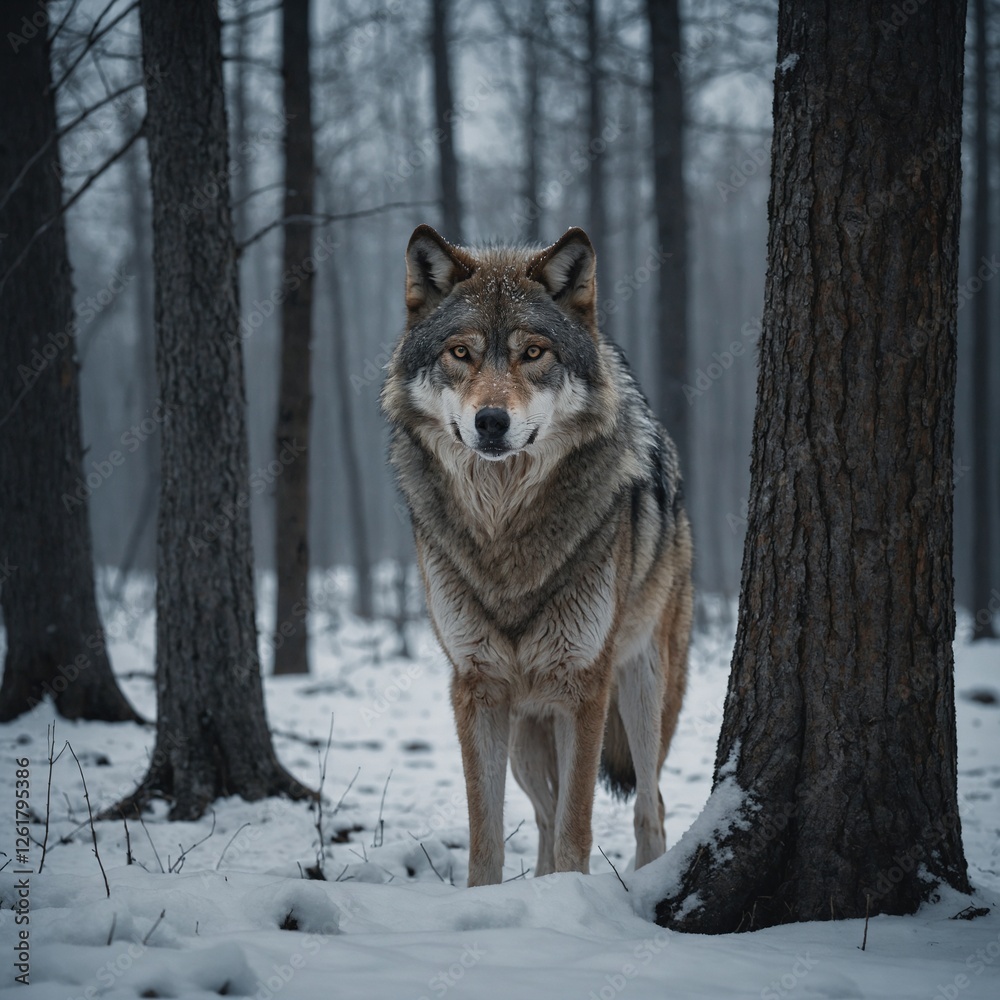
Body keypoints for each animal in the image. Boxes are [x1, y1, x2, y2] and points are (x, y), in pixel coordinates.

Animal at [382, 224, 693, 887]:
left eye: (532, 353)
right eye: (461, 353)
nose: (491, 421)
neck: (507, 532)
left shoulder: (584, 686)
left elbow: (579, 831)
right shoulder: (476, 687)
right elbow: (489, 839)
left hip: (643, 692)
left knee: (649, 803)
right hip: (527, 730)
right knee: (545, 817)